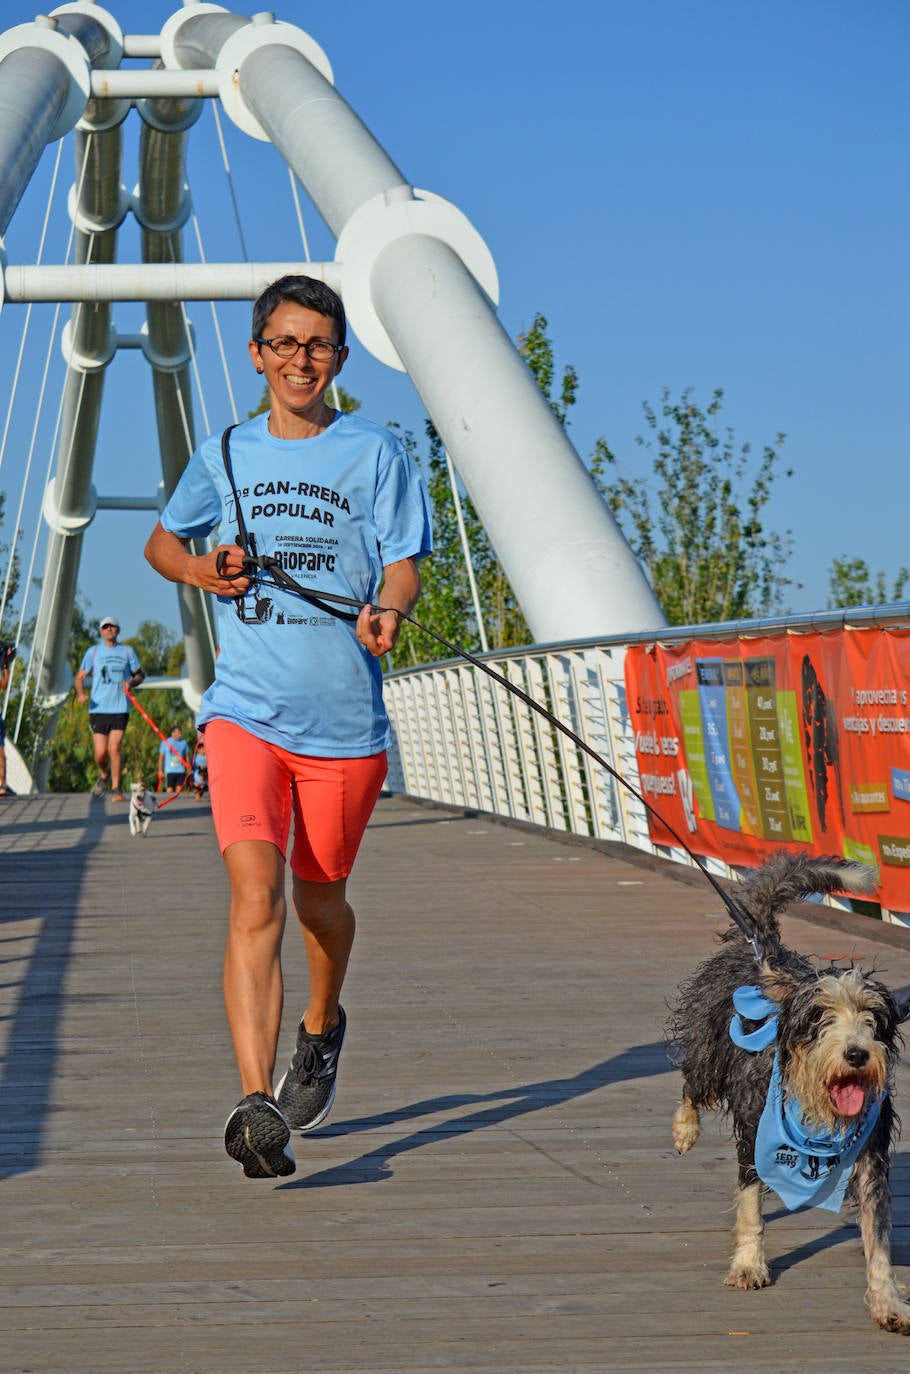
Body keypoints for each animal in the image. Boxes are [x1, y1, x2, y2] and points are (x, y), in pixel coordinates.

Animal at [662, 851, 910, 1335]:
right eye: (820, 1016)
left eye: (872, 1016)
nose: (856, 1054)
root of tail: (762, 950)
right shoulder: (754, 1130)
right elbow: (749, 1203)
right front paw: (748, 1264)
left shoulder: (870, 1154)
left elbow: (878, 1233)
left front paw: (887, 1301)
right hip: (707, 1052)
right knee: (692, 1083)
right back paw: (684, 1130)